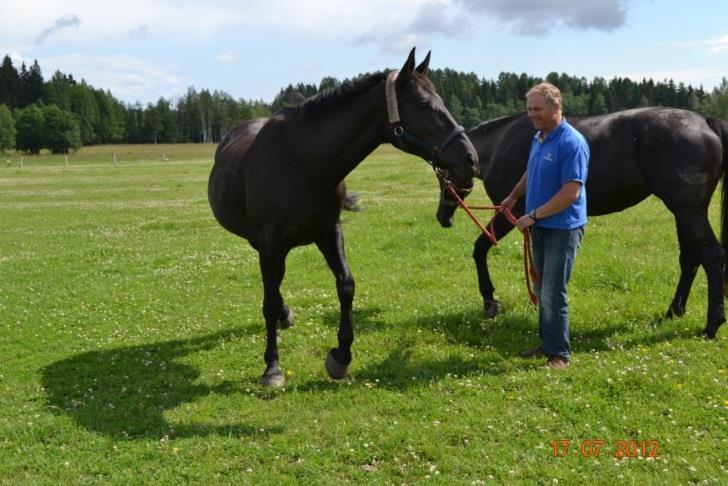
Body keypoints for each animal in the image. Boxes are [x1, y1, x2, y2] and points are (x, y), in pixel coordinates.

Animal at [209, 47, 478, 386]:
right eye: (423, 104)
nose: (470, 158)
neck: (302, 163)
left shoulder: (329, 231)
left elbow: (346, 285)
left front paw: (341, 356)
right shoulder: (271, 242)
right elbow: (269, 302)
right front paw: (272, 367)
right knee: (272, 289)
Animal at [438, 108, 728, 340]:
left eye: (442, 175)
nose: (443, 217)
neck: (500, 144)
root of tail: (704, 121)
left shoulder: (514, 212)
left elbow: (481, 248)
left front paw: (490, 301)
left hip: (689, 212)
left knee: (712, 258)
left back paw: (711, 325)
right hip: (684, 213)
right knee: (690, 259)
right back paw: (674, 311)